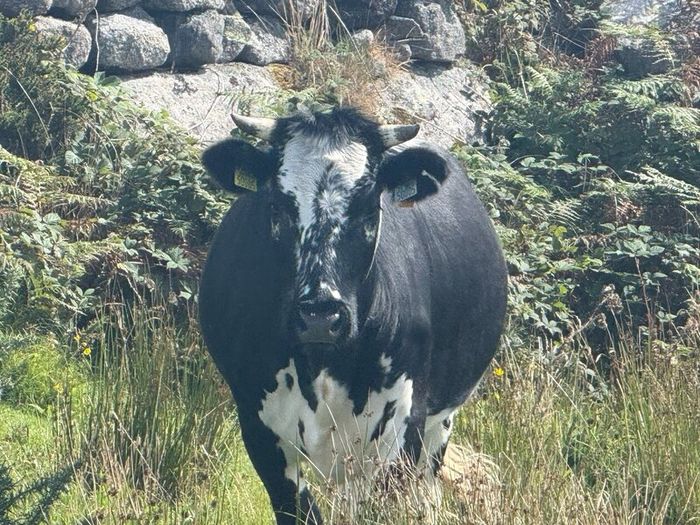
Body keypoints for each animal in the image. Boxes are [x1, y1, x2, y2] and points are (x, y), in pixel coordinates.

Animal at [199, 107, 507, 525]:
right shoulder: (259, 428)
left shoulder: (401, 427)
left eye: (368, 208)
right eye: (277, 206)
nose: (319, 316)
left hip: (438, 422)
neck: (323, 365)